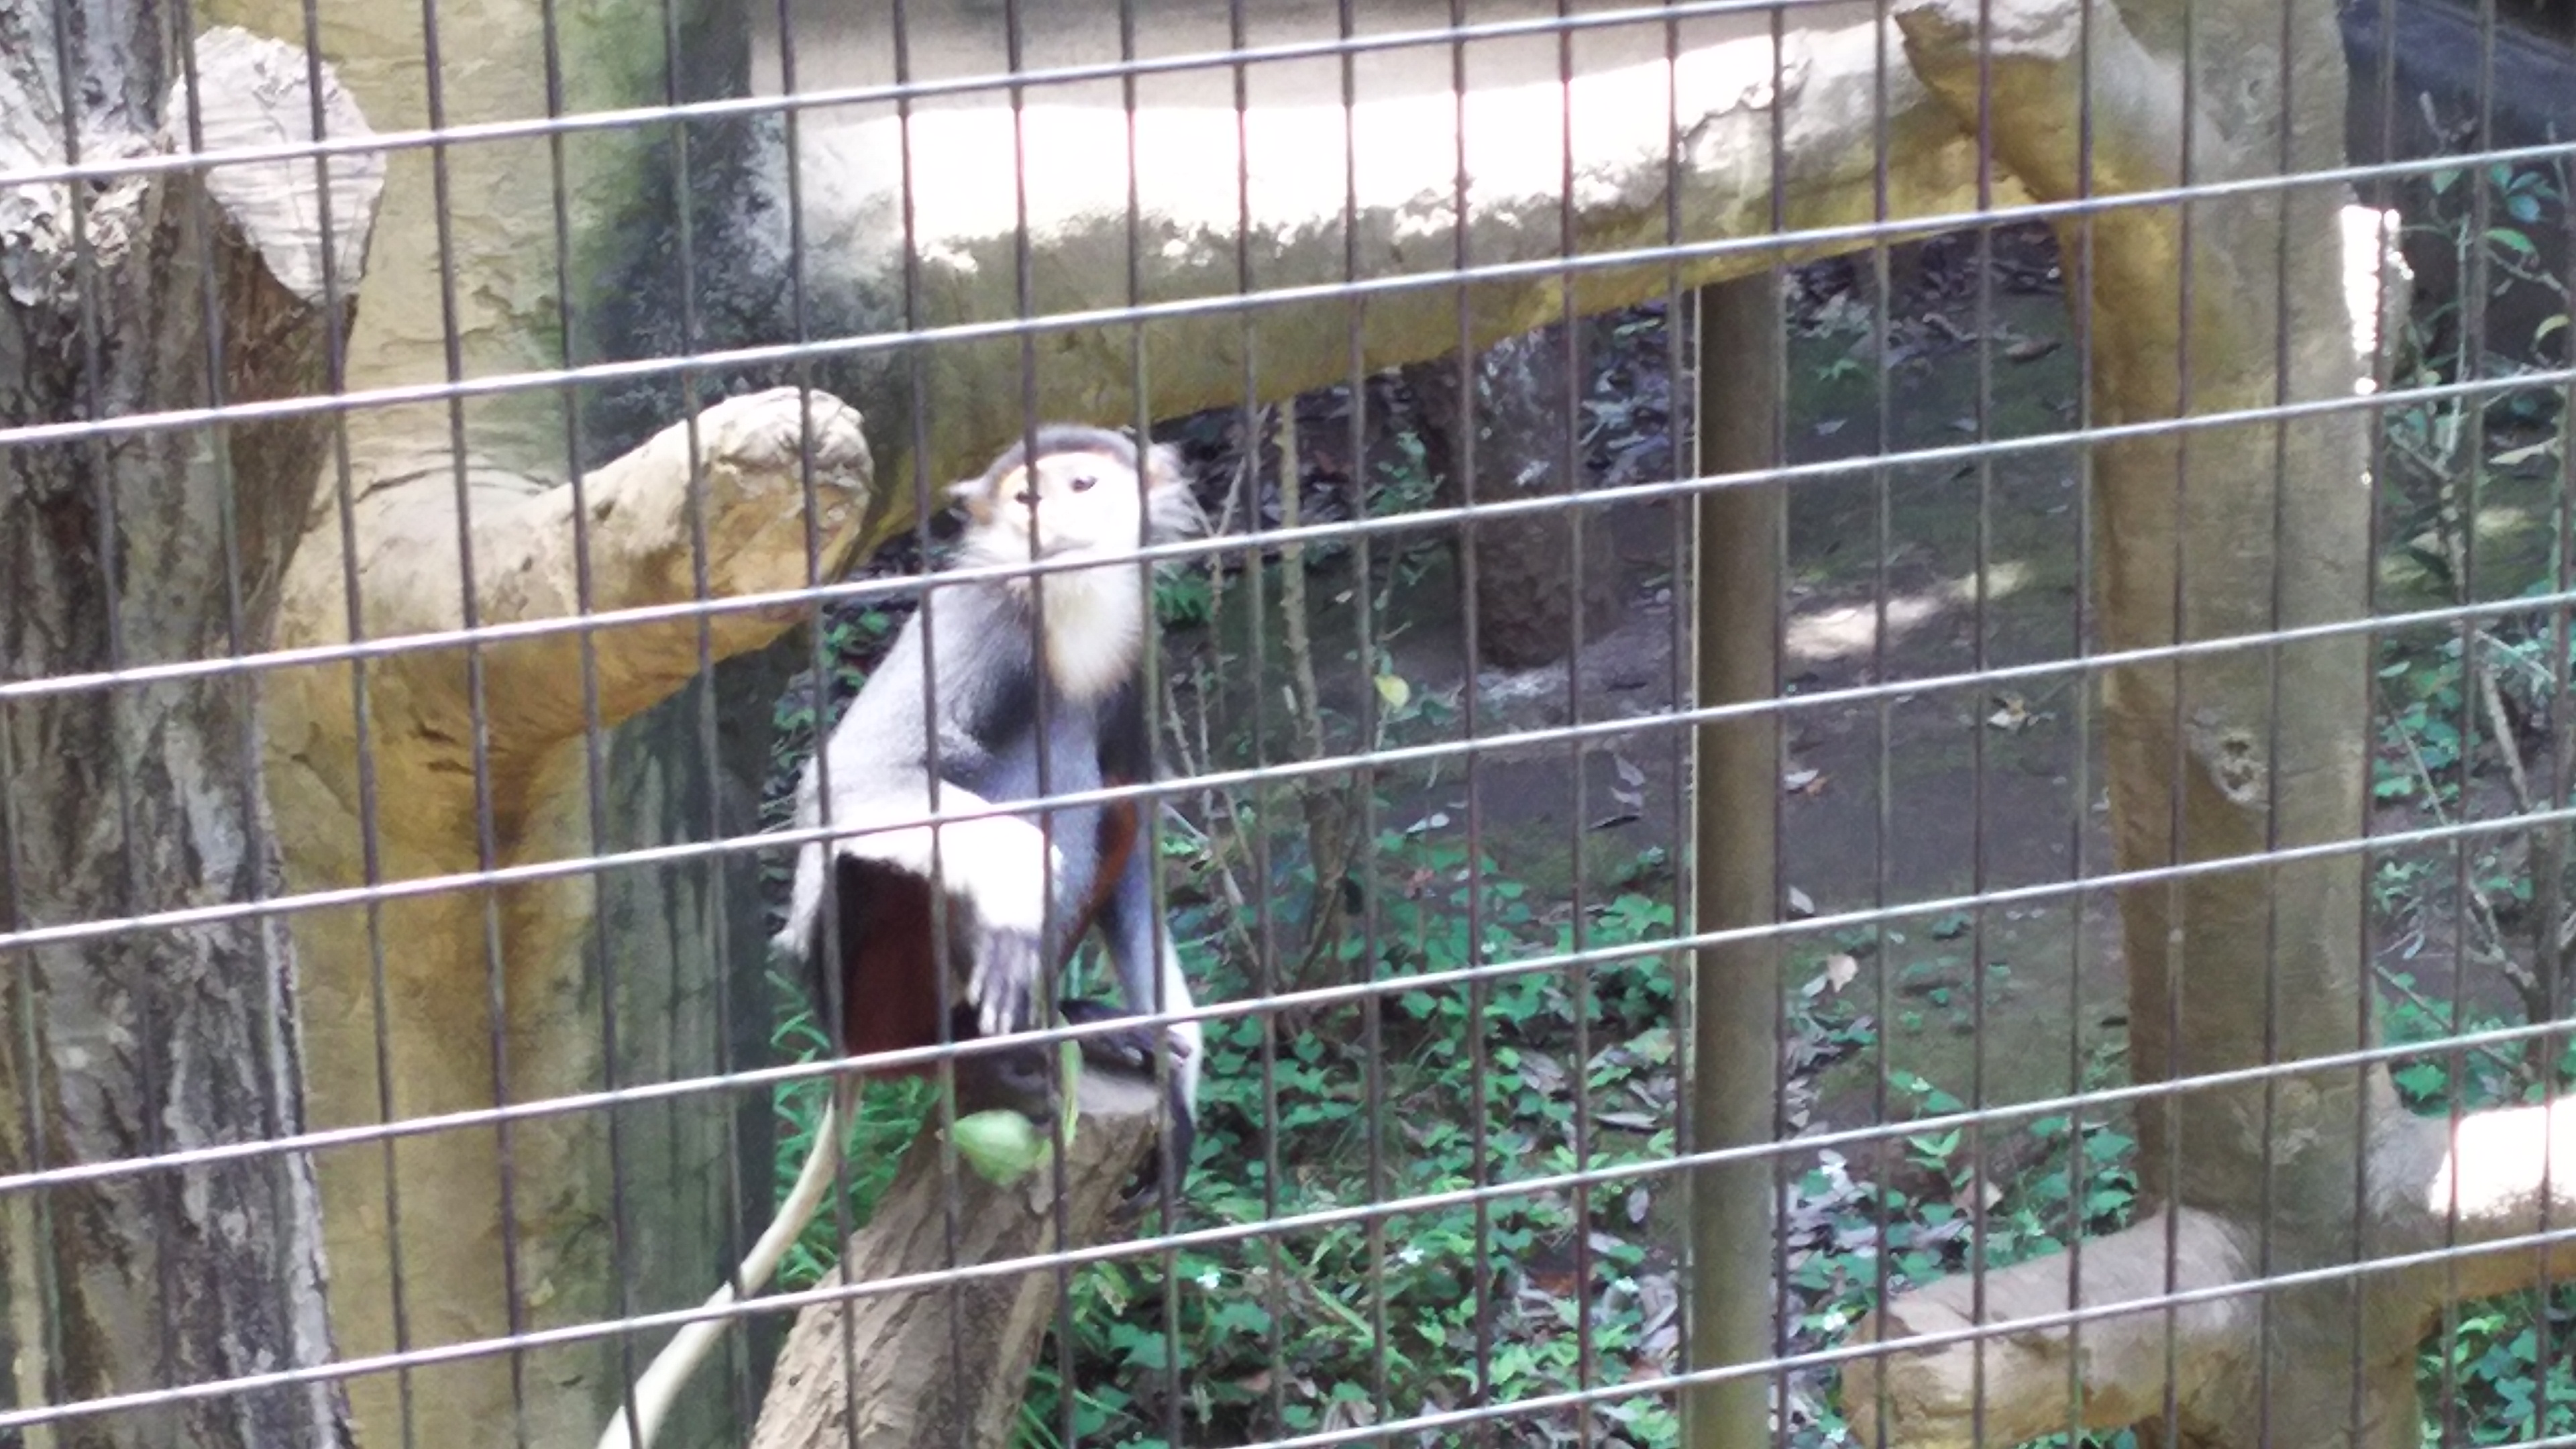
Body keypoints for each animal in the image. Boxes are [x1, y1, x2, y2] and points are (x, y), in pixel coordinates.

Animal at [594, 425, 1205, 1449]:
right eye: (1027, 497)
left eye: (1083, 485)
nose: (1051, 518)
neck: (1069, 616)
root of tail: (849, 1045)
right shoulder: (978, 622)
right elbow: (851, 784)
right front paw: (1012, 884)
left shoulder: (1139, 655)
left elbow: (1139, 828)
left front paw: (1186, 1078)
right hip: (869, 974)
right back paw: (977, 1051)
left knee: (1105, 782)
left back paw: (1075, 1018)